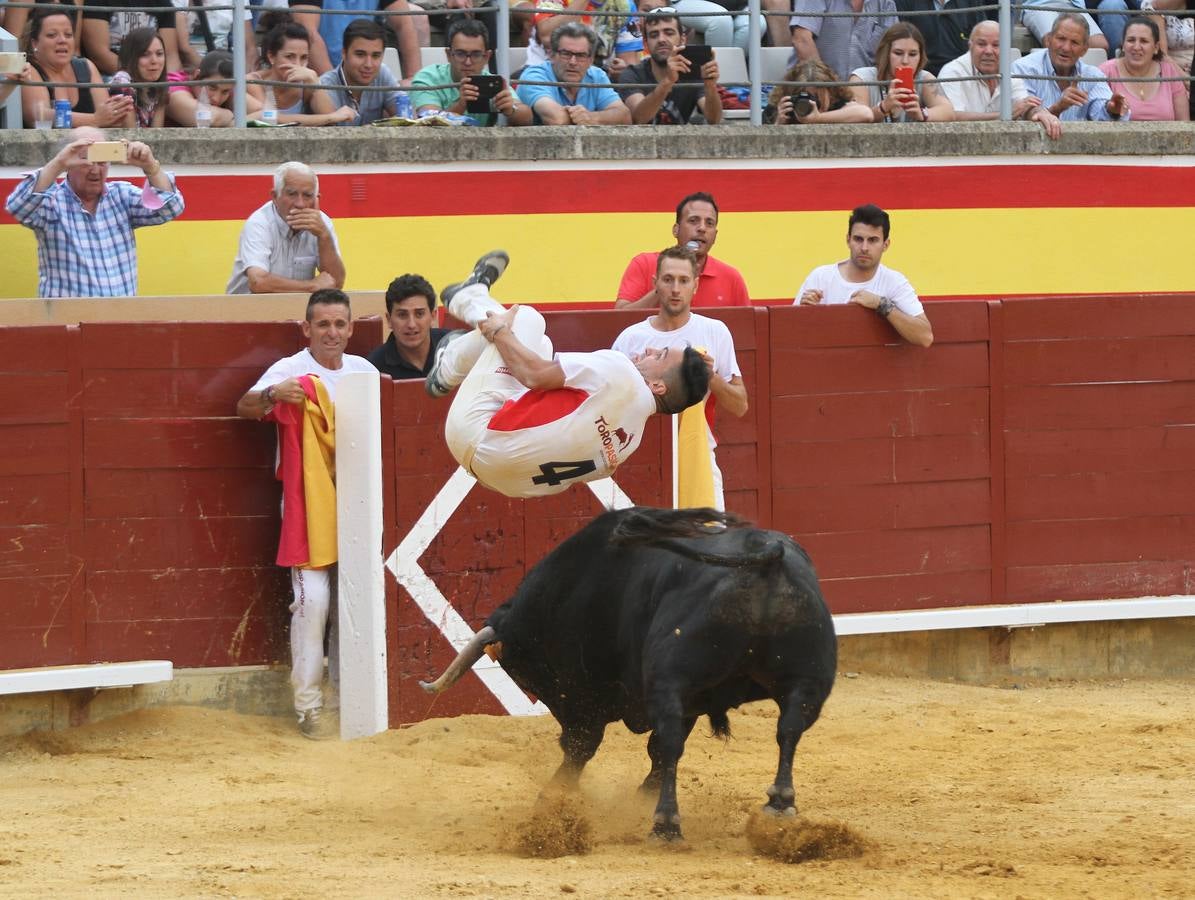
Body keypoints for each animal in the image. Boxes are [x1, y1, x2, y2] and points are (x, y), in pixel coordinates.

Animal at [423, 509, 841, 841]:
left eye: (526, 675)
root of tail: (766, 560)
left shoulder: (584, 697)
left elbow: (586, 746)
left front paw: (554, 795)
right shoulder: (689, 700)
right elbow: (654, 751)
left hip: (670, 677)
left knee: (671, 740)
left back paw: (666, 823)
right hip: (807, 681)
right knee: (788, 729)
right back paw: (779, 803)